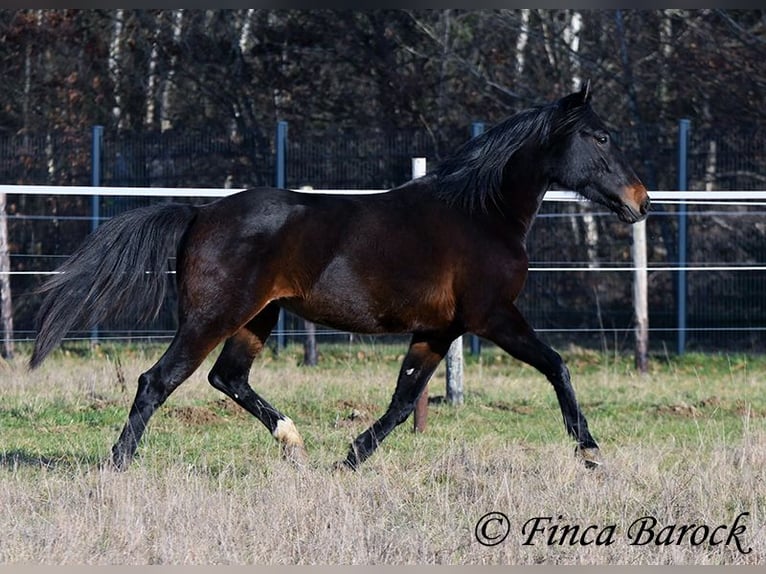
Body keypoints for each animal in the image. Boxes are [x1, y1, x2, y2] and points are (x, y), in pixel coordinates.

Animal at [30, 81, 650, 471]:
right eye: (599, 137)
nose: (639, 202)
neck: (480, 213)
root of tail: (201, 213)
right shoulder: (492, 316)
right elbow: (557, 366)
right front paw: (589, 450)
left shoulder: (439, 330)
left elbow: (402, 402)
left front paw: (348, 459)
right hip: (213, 316)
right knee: (157, 381)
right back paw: (118, 466)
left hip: (258, 317)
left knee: (227, 378)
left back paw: (294, 442)